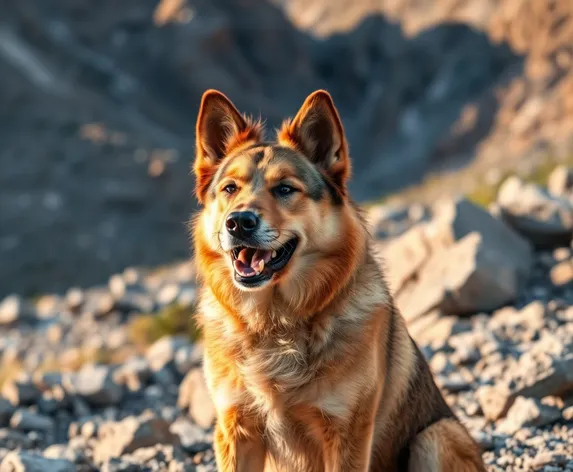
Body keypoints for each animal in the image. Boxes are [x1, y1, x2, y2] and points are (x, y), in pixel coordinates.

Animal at [190, 89, 484, 472]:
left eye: (285, 189)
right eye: (229, 188)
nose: (239, 222)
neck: (276, 323)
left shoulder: (347, 433)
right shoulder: (236, 430)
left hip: (438, 436)